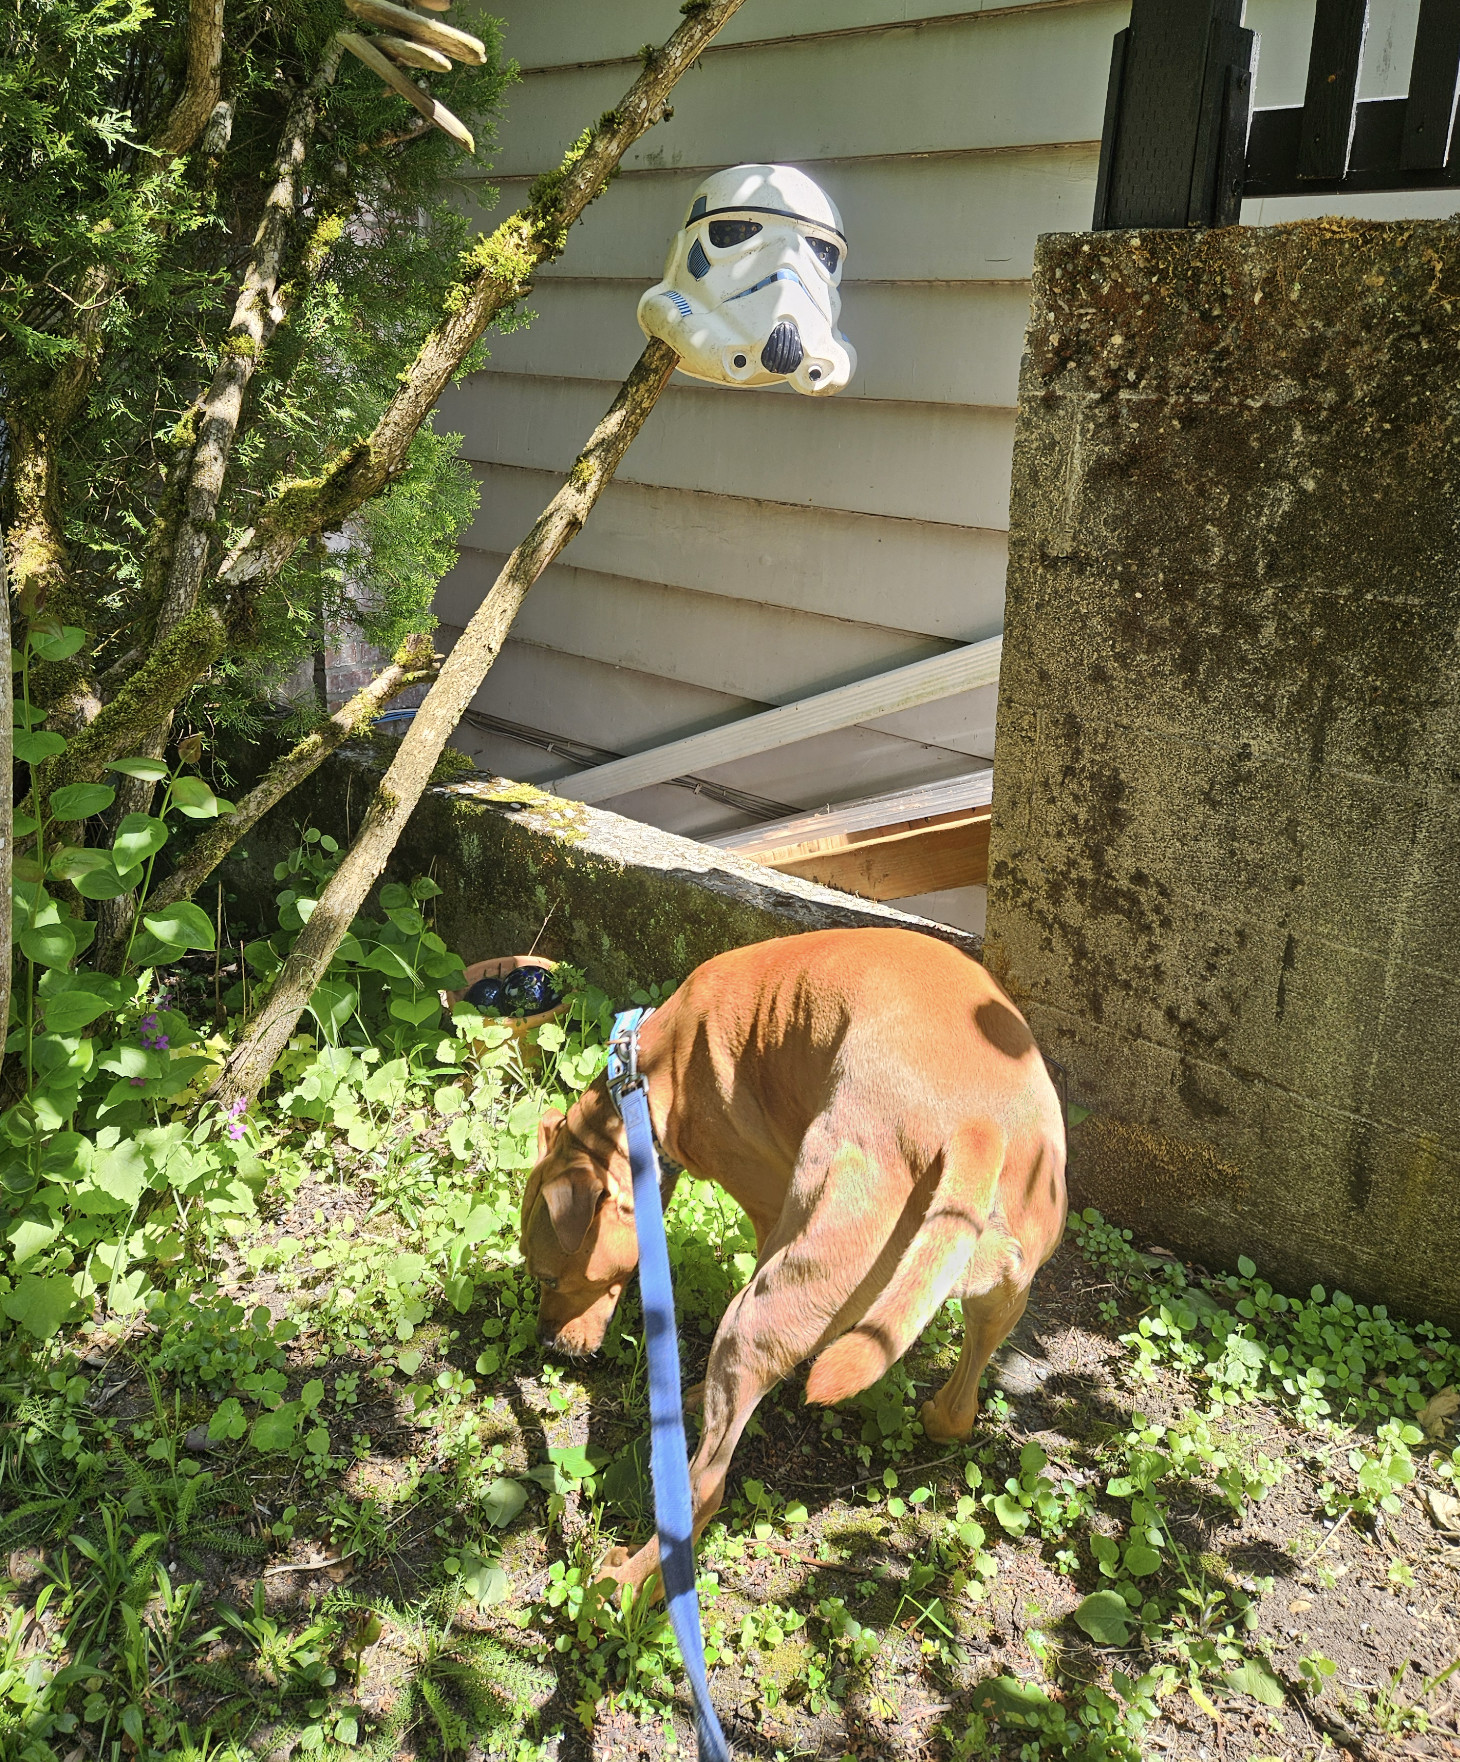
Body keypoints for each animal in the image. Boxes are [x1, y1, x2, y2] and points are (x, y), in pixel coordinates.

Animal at [517, 923, 1063, 1599]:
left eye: (547, 1276)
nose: (545, 1341)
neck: (646, 1072)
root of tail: (977, 1125)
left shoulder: (766, 1207)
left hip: (756, 1318)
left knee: (702, 1489)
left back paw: (626, 1580)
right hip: (1001, 1293)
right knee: (962, 1399)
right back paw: (940, 1413)